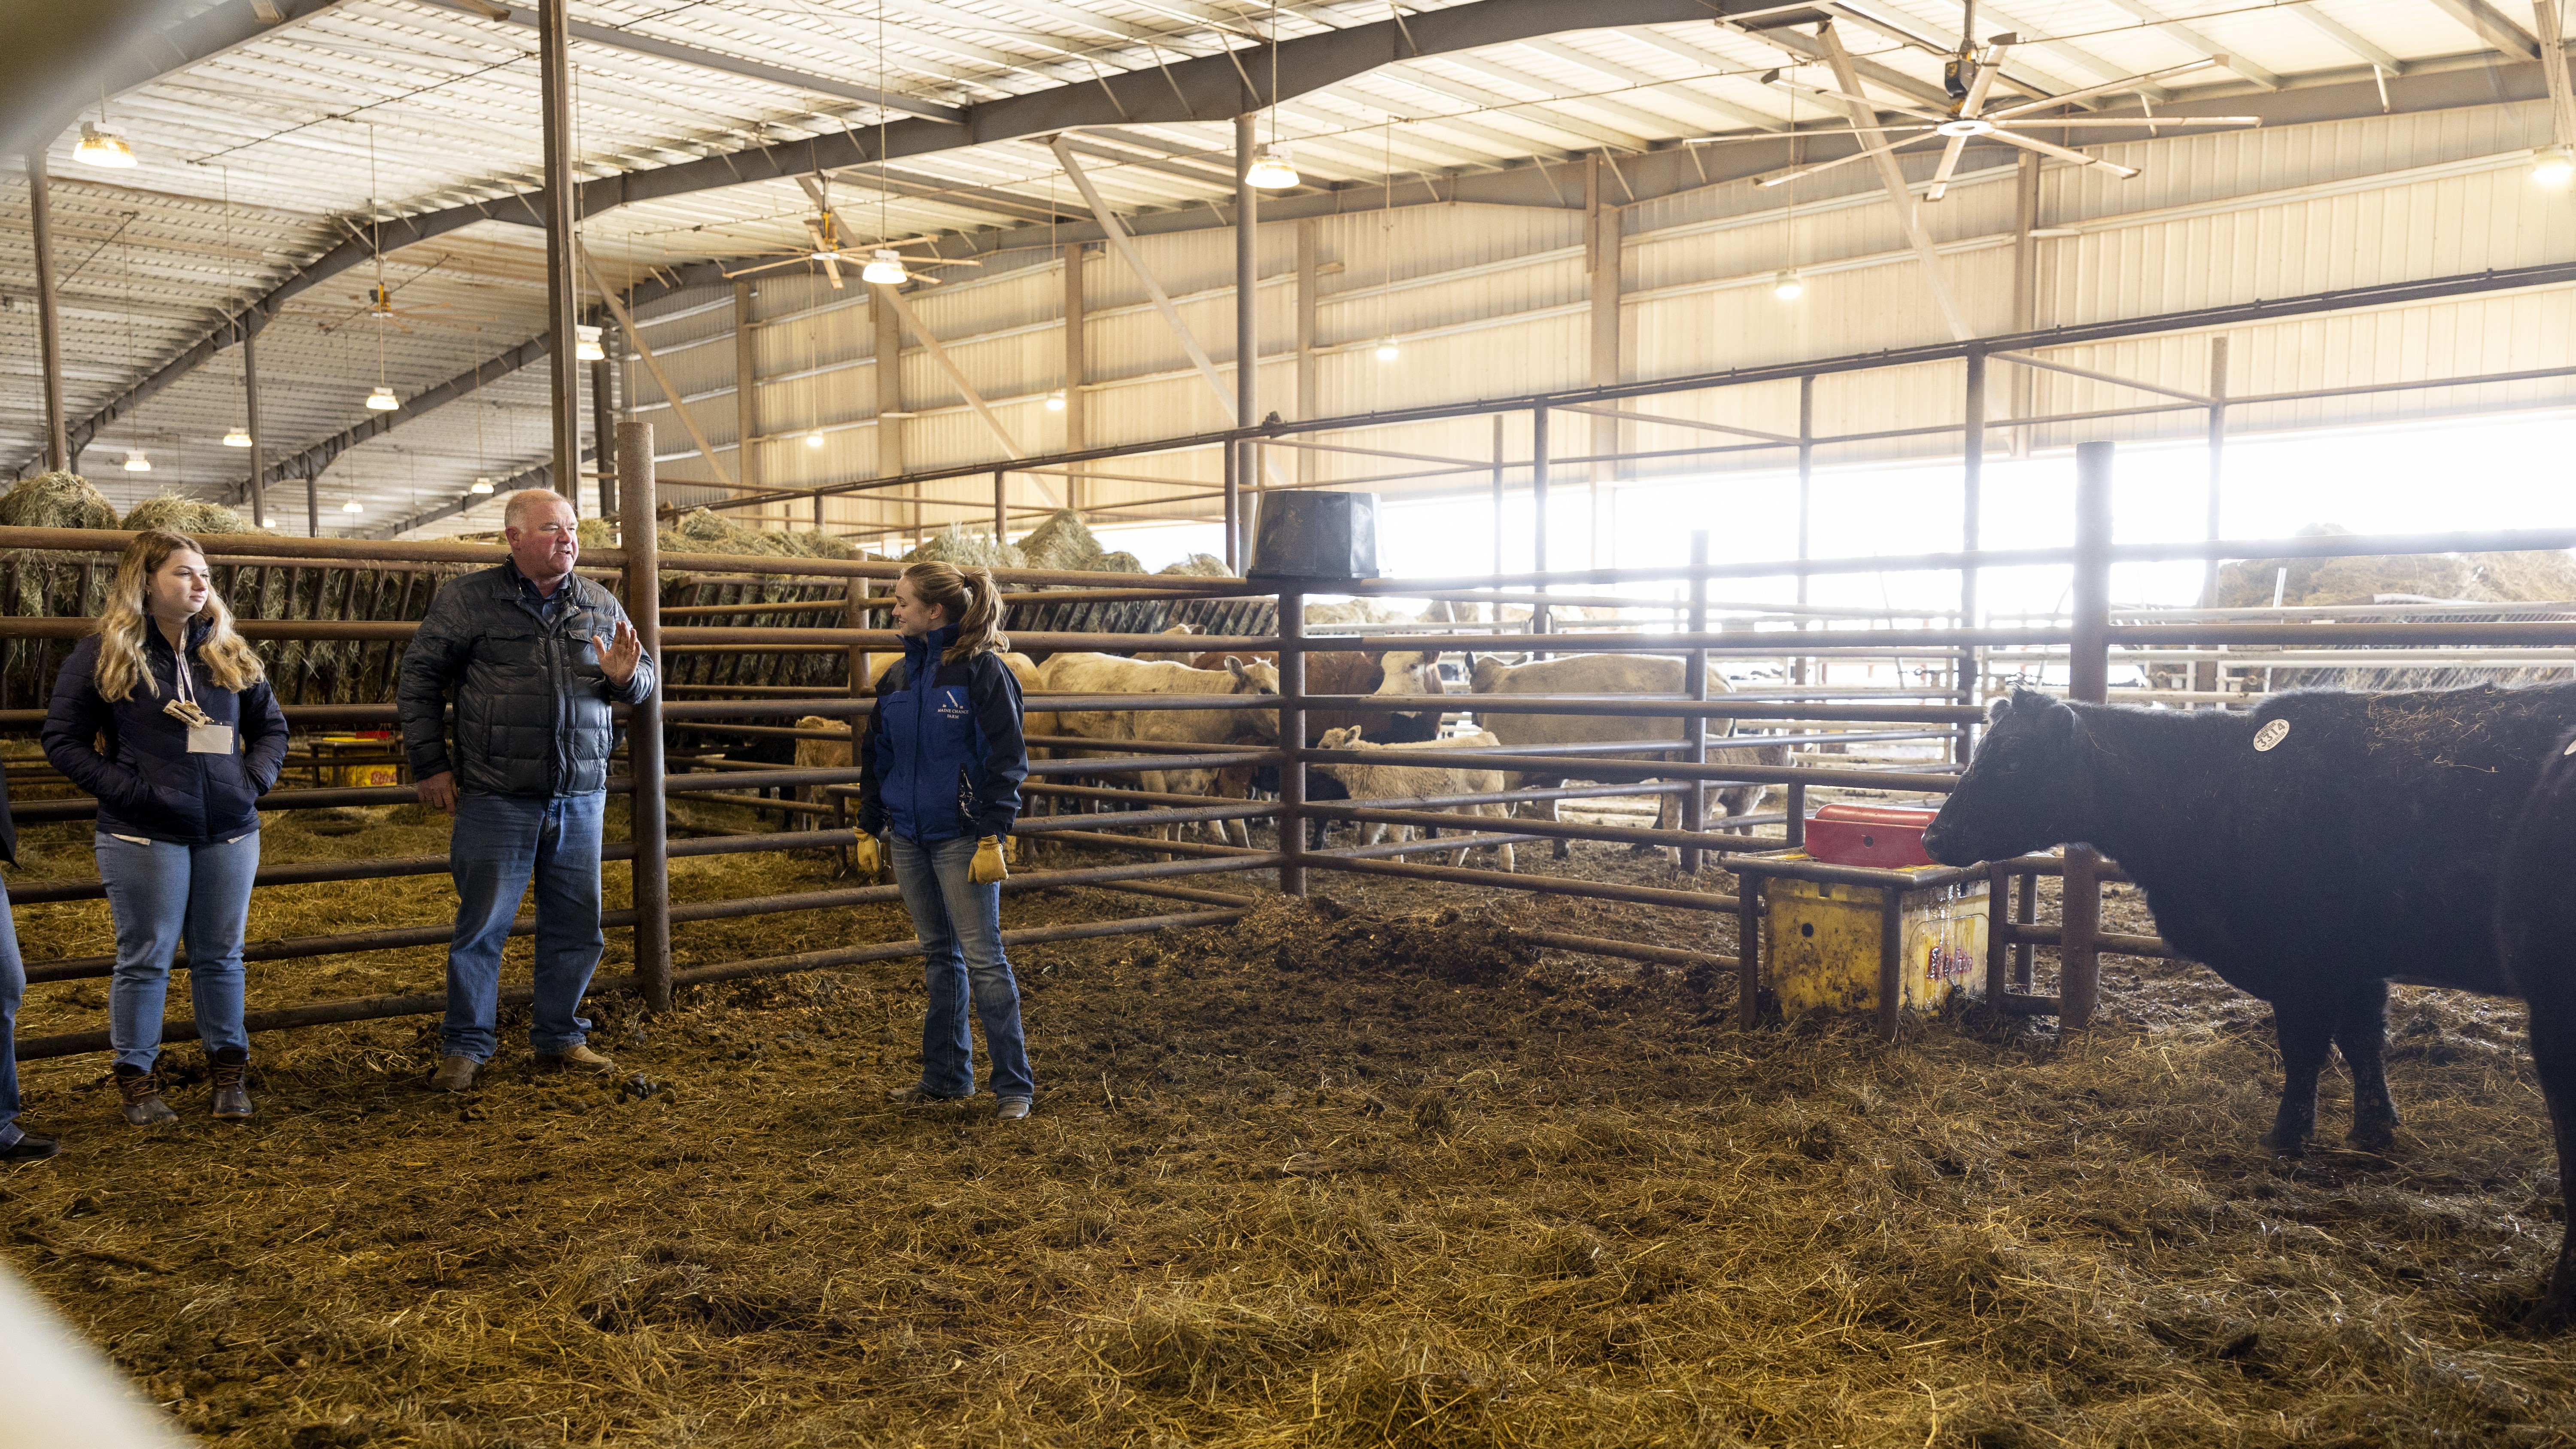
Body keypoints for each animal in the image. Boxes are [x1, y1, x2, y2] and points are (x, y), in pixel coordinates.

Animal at [1927, 686, 2576, 1320]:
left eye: (2012, 760)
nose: (1934, 836)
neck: (2214, 783)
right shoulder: (2355, 959)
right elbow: (2362, 1040)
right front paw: (2372, 1128)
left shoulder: (2303, 963)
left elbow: (2306, 1049)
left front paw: (2287, 1135)